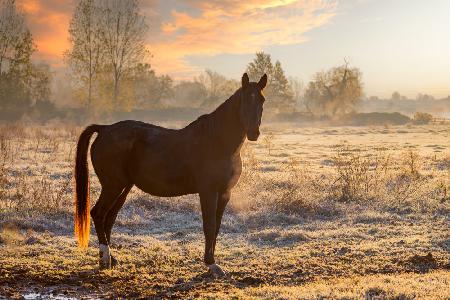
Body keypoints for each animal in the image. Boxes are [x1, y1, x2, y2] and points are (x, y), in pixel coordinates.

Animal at [74, 72, 268, 276]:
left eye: (262, 100)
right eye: (244, 99)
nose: (254, 133)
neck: (218, 142)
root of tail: (104, 129)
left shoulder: (224, 193)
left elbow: (216, 227)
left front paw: (212, 262)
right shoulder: (208, 192)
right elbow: (209, 226)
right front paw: (211, 264)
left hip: (123, 187)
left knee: (109, 218)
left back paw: (110, 259)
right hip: (112, 186)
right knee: (98, 214)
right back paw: (105, 258)